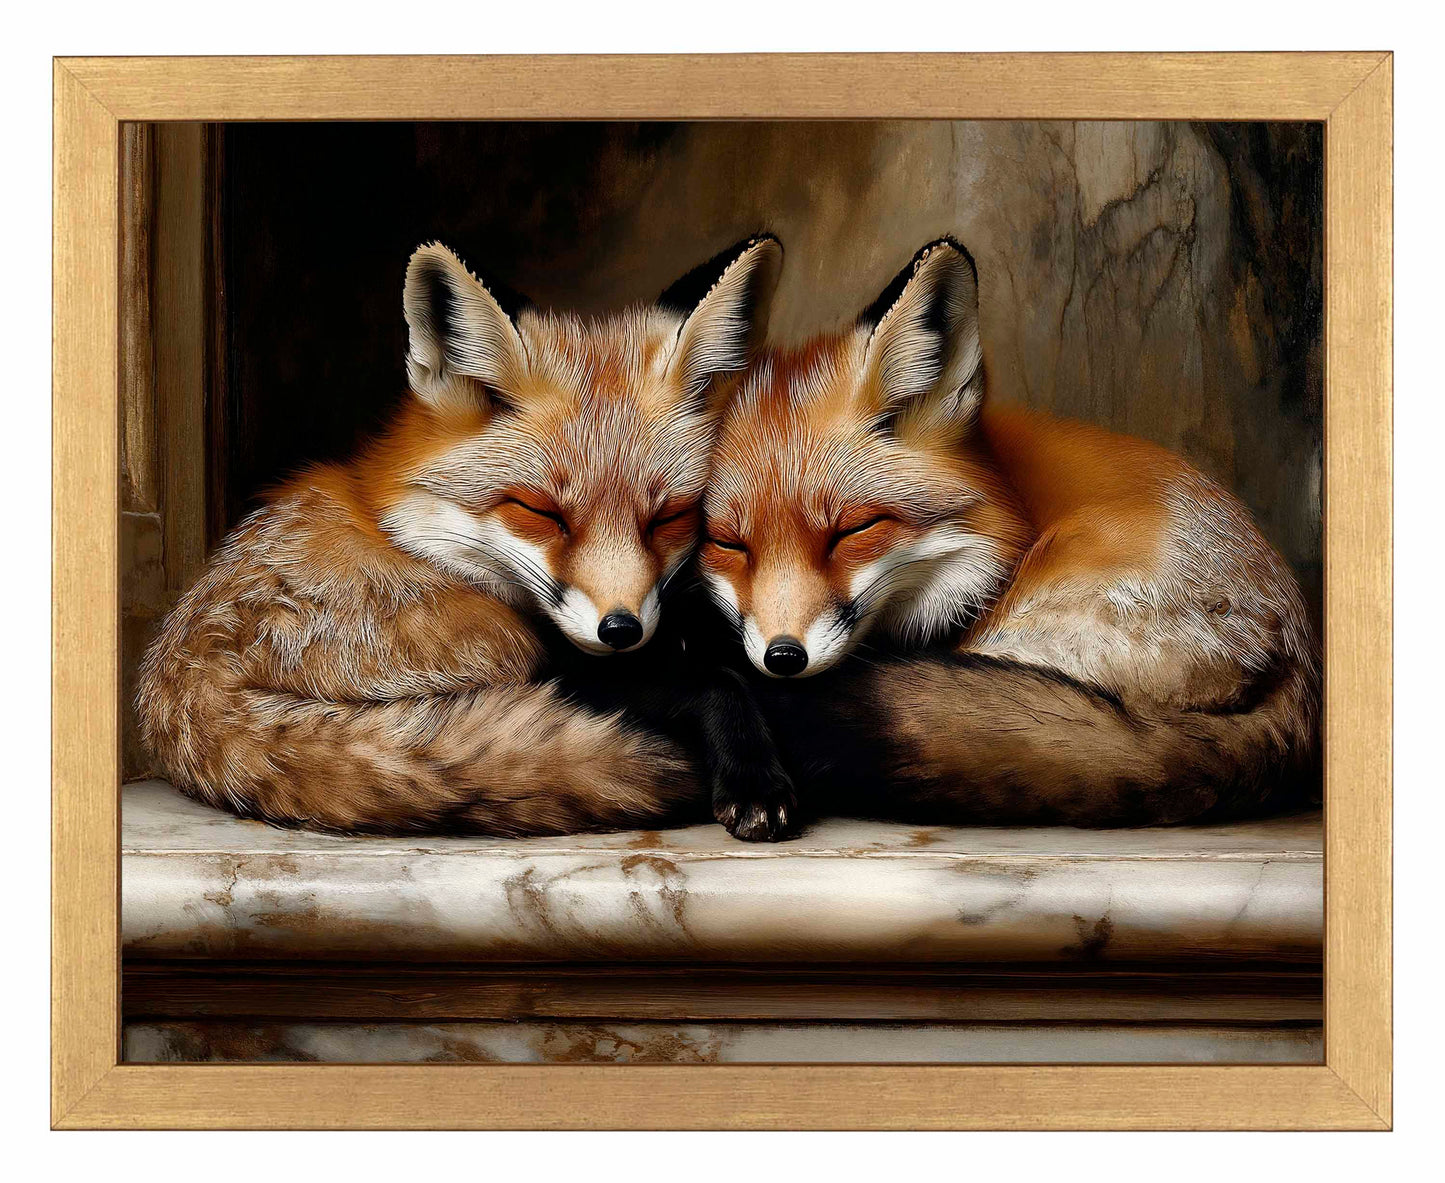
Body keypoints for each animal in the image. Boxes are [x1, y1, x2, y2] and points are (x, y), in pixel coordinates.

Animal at [136, 234, 790, 837]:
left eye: (667, 517)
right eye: (541, 512)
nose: (621, 629)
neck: (403, 524)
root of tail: (190, 687)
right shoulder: (567, 664)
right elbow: (717, 679)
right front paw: (753, 778)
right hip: (504, 644)